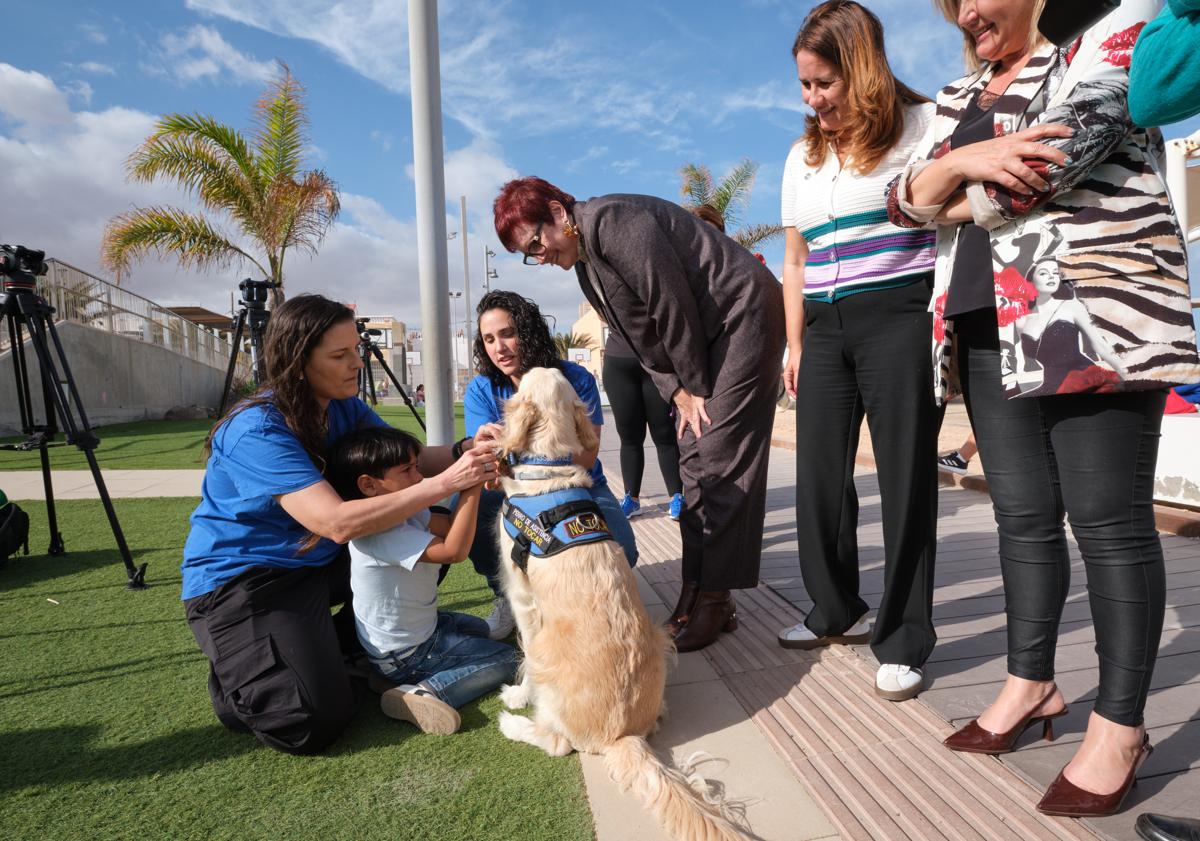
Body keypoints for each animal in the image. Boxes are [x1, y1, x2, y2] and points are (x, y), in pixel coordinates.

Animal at [492, 367, 744, 839]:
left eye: (523, 382)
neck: (549, 470)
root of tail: (620, 734)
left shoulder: (522, 596)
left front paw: (517, 696)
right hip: (663, 637)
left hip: (546, 654)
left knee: (558, 742)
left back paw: (514, 724)